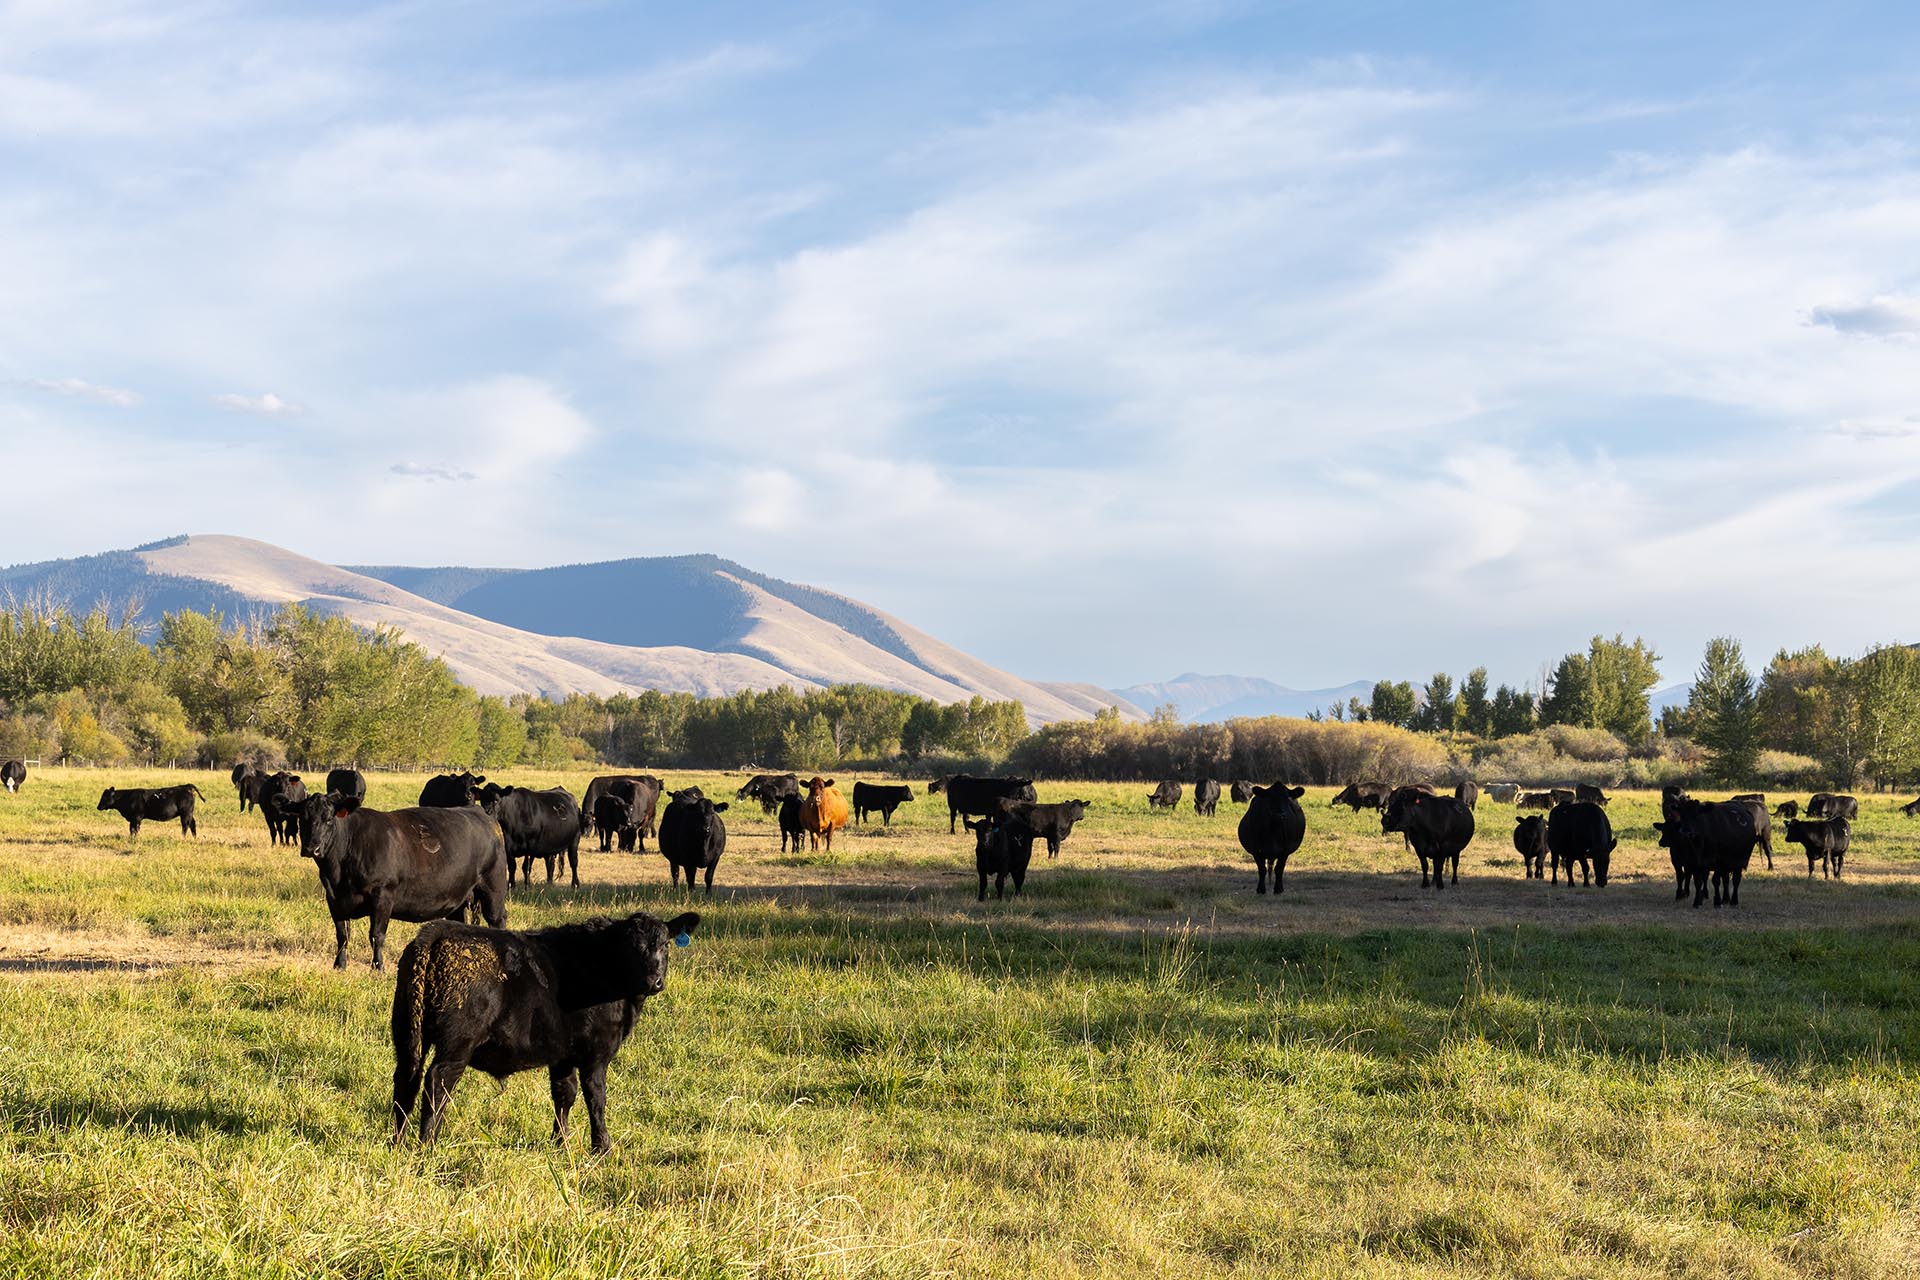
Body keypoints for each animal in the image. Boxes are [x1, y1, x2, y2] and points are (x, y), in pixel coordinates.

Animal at [296, 794, 508, 969]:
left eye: (328, 819)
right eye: (302, 819)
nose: (312, 848)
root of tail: (481, 813)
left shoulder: (383, 895)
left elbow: (377, 935)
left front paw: (378, 968)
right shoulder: (334, 899)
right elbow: (342, 935)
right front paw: (339, 965)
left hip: (493, 887)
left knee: (497, 919)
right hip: (459, 897)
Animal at [389, 909, 699, 1151]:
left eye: (665, 945)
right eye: (631, 948)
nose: (653, 981)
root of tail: (438, 931)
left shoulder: (562, 1054)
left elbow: (565, 1094)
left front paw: (560, 1143)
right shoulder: (596, 1053)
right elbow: (596, 1097)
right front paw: (602, 1147)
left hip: (406, 1032)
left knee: (406, 1080)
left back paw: (398, 1143)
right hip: (457, 1043)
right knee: (437, 1083)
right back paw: (428, 1144)